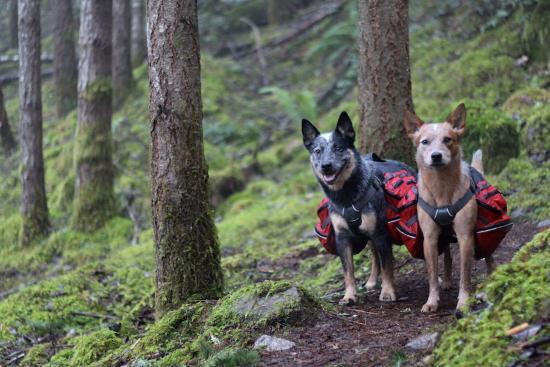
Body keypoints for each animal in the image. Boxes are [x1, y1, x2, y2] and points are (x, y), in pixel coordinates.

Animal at [304, 113, 416, 308]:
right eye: (317, 151)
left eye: (338, 147)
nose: (326, 165)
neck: (346, 197)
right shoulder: (342, 238)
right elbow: (348, 273)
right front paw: (349, 296)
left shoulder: (380, 233)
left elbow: (387, 267)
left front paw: (388, 292)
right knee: (374, 256)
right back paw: (371, 281)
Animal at [406, 103, 496, 314]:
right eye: (424, 142)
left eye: (448, 139)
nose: (436, 156)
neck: (442, 188)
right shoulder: (429, 238)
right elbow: (432, 275)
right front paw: (432, 301)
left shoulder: (465, 236)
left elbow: (465, 275)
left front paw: (463, 302)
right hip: (443, 237)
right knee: (447, 256)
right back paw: (446, 281)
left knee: (489, 257)